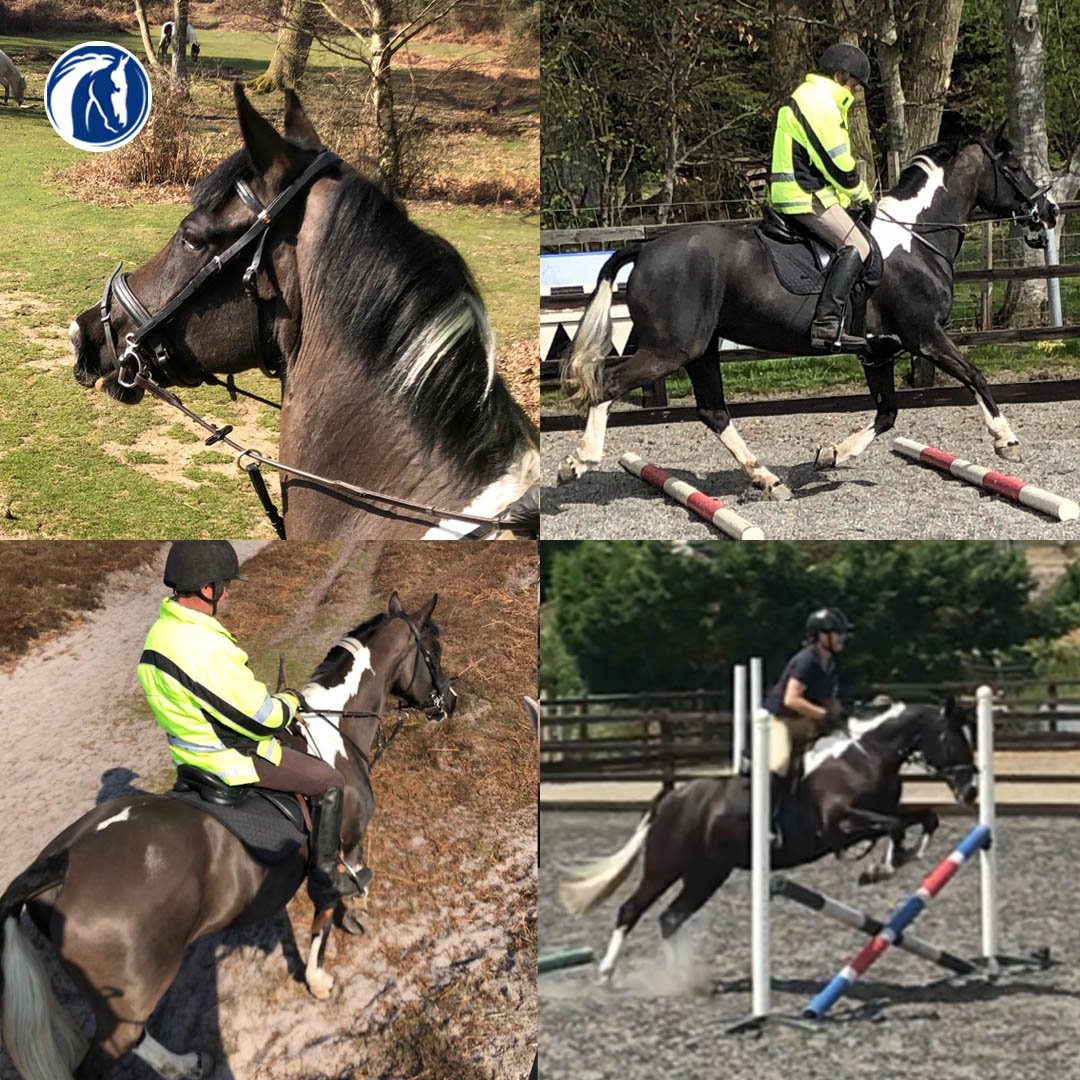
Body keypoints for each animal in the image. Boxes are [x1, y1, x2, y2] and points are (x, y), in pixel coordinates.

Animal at [0, 591, 453, 1080]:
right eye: (434, 650)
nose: (450, 701)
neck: (335, 732)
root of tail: (60, 863)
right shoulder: (342, 842)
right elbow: (326, 908)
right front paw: (320, 974)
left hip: (122, 1006)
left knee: (138, 1038)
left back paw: (183, 1064)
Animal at [558, 129, 1056, 501]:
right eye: (1013, 167)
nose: (1047, 212)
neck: (915, 239)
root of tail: (645, 249)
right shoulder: (925, 337)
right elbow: (974, 376)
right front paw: (1006, 441)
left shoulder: (879, 352)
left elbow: (887, 413)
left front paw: (833, 454)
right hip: (671, 349)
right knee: (609, 382)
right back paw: (579, 462)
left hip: (701, 350)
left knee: (713, 412)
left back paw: (766, 479)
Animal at [558, 698, 978, 981]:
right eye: (954, 739)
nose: (971, 791)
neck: (865, 756)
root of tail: (672, 797)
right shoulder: (840, 823)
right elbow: (893, 827)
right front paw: (880, 869)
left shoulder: (883, 812)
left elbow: (924, 819)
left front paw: (902, 858)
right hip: (666, 866)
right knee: (631, 909)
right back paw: (608, 972)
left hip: (708, 872)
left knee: (671, 917)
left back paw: (683, 981)